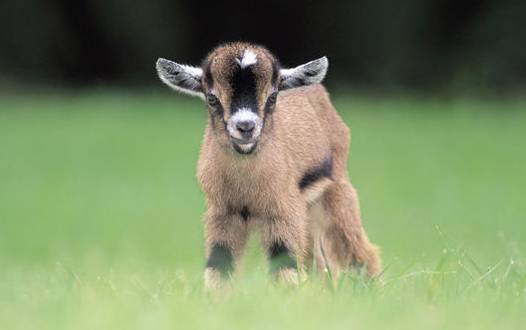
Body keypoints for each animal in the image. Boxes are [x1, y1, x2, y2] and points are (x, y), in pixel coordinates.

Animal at [155, 42, 382, 288]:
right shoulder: (223, 214)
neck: (245, 187)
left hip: (335, 192)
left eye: (272, 97)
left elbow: (285, 266)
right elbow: (220, 265)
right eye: (211, 98)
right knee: (317, 264)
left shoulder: (282, 212)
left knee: (359, 252)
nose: (246, 127)